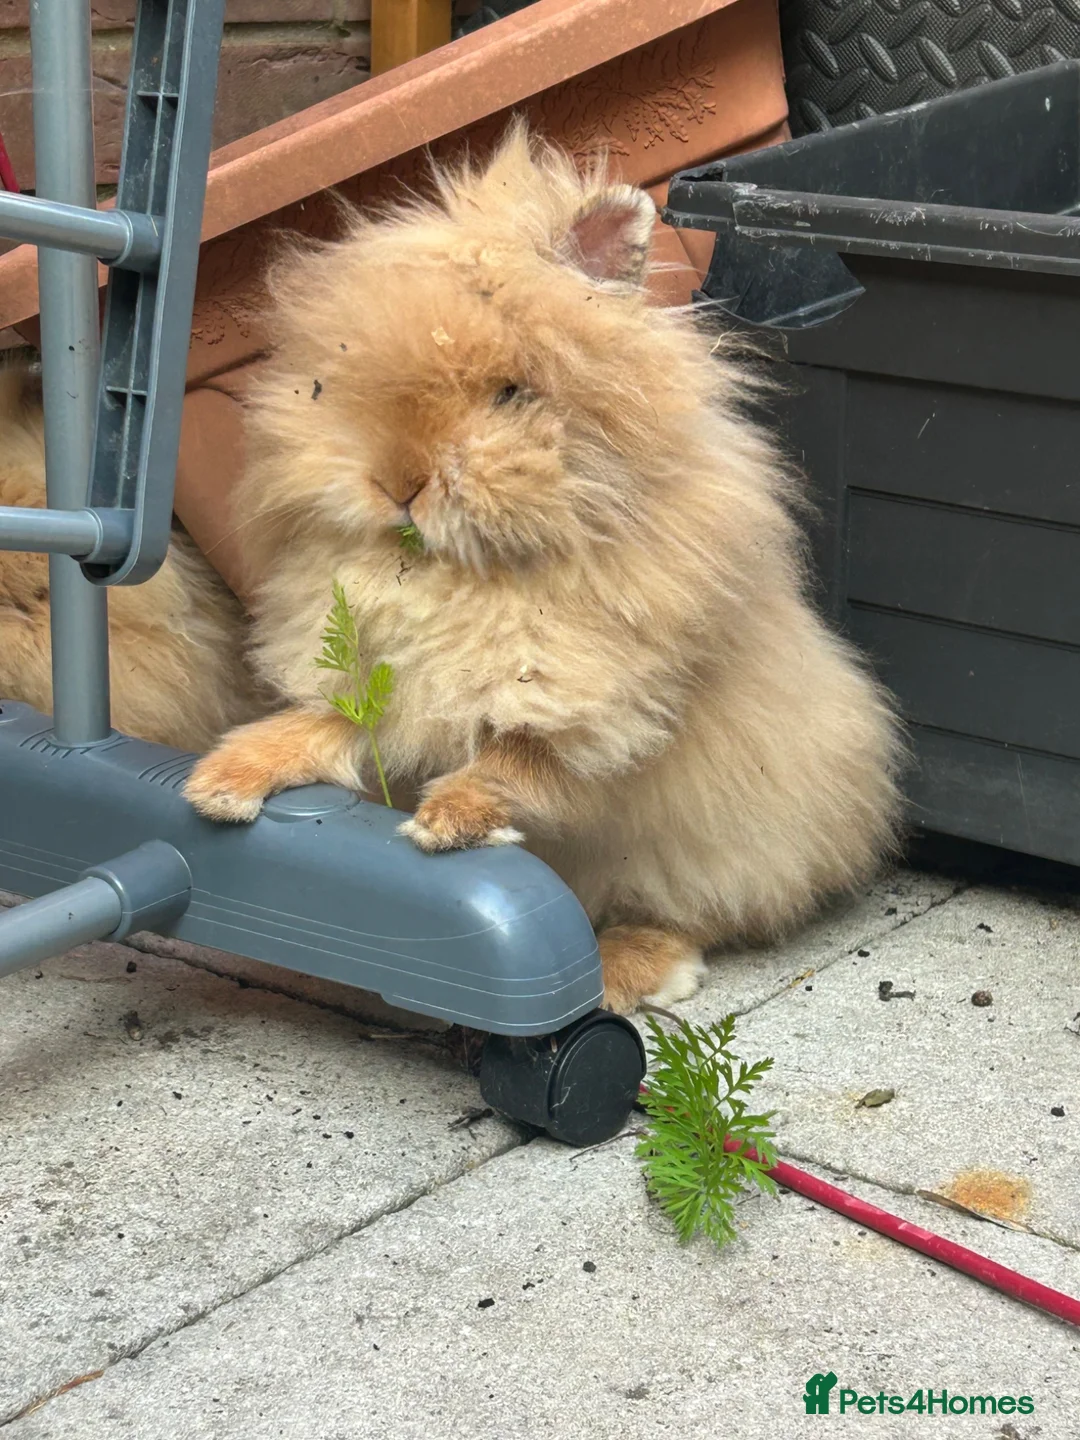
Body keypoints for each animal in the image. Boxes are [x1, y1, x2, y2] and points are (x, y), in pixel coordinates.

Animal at [184, 121, 903, 1014]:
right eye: (327, 387)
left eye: (509, 393)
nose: (397, 485)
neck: (459, 577)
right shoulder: (384, 696)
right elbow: (321, 729)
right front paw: (217, 785)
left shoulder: (603, 710)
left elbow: (520, 761)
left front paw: (446, 824)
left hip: (720, 844)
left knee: (693, 914)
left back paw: (627, 976)